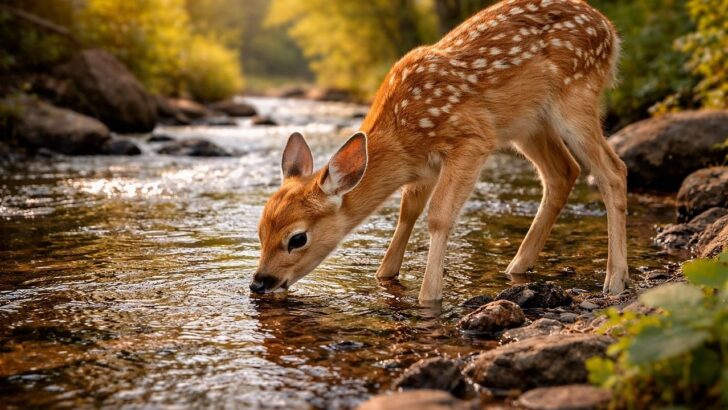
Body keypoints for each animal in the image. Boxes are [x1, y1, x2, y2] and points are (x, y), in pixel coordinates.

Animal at [251, 0, 628, 303]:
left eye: (297, 238)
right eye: (261, 229)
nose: (259, 283)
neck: (402, 135)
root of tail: (610, 29)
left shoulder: (472, 137)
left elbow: (439, 215)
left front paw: (428, 296)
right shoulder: (424, 167)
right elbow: (408, 212)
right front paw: (385, 274)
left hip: (575, 97)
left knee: (613, 170)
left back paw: (615, 280)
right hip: (528, 124)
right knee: (563, 172)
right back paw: (518, 266)